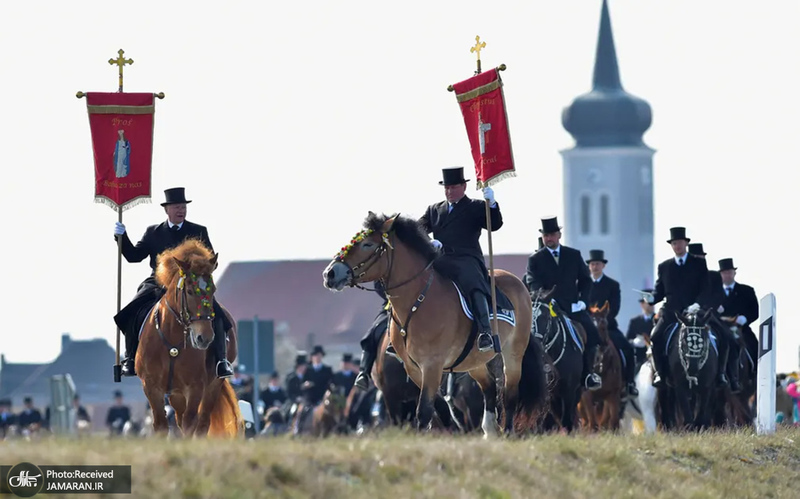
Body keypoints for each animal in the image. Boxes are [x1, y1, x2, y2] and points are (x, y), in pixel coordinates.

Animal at [137, 238, 241, 438]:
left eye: (213, 289)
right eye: (190, 291)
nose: (205, 338)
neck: (172, 340)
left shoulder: (195, 387)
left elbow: (190, 424)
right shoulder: (151, 386)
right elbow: (161, 425)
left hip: (212, 386)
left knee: (202, 422)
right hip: (176, 393)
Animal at [322, 215, 548, 438]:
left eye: (367, 244)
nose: (329, 274)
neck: (417, 300)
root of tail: (517, 283)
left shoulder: (432, 364)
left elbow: (423, 411)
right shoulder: (413, 368)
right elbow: (436, 405)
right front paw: (449, 425)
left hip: (513, 353)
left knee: (510, 392)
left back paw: (507, 431)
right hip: (473, 361)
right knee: (489, 387)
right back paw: (489, 431)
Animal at [580, 302, 624, 432]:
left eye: (604, 327)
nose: (597, 356)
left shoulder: (613, 394)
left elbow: (613, 422)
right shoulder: (586, 396)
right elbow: (592, 423)